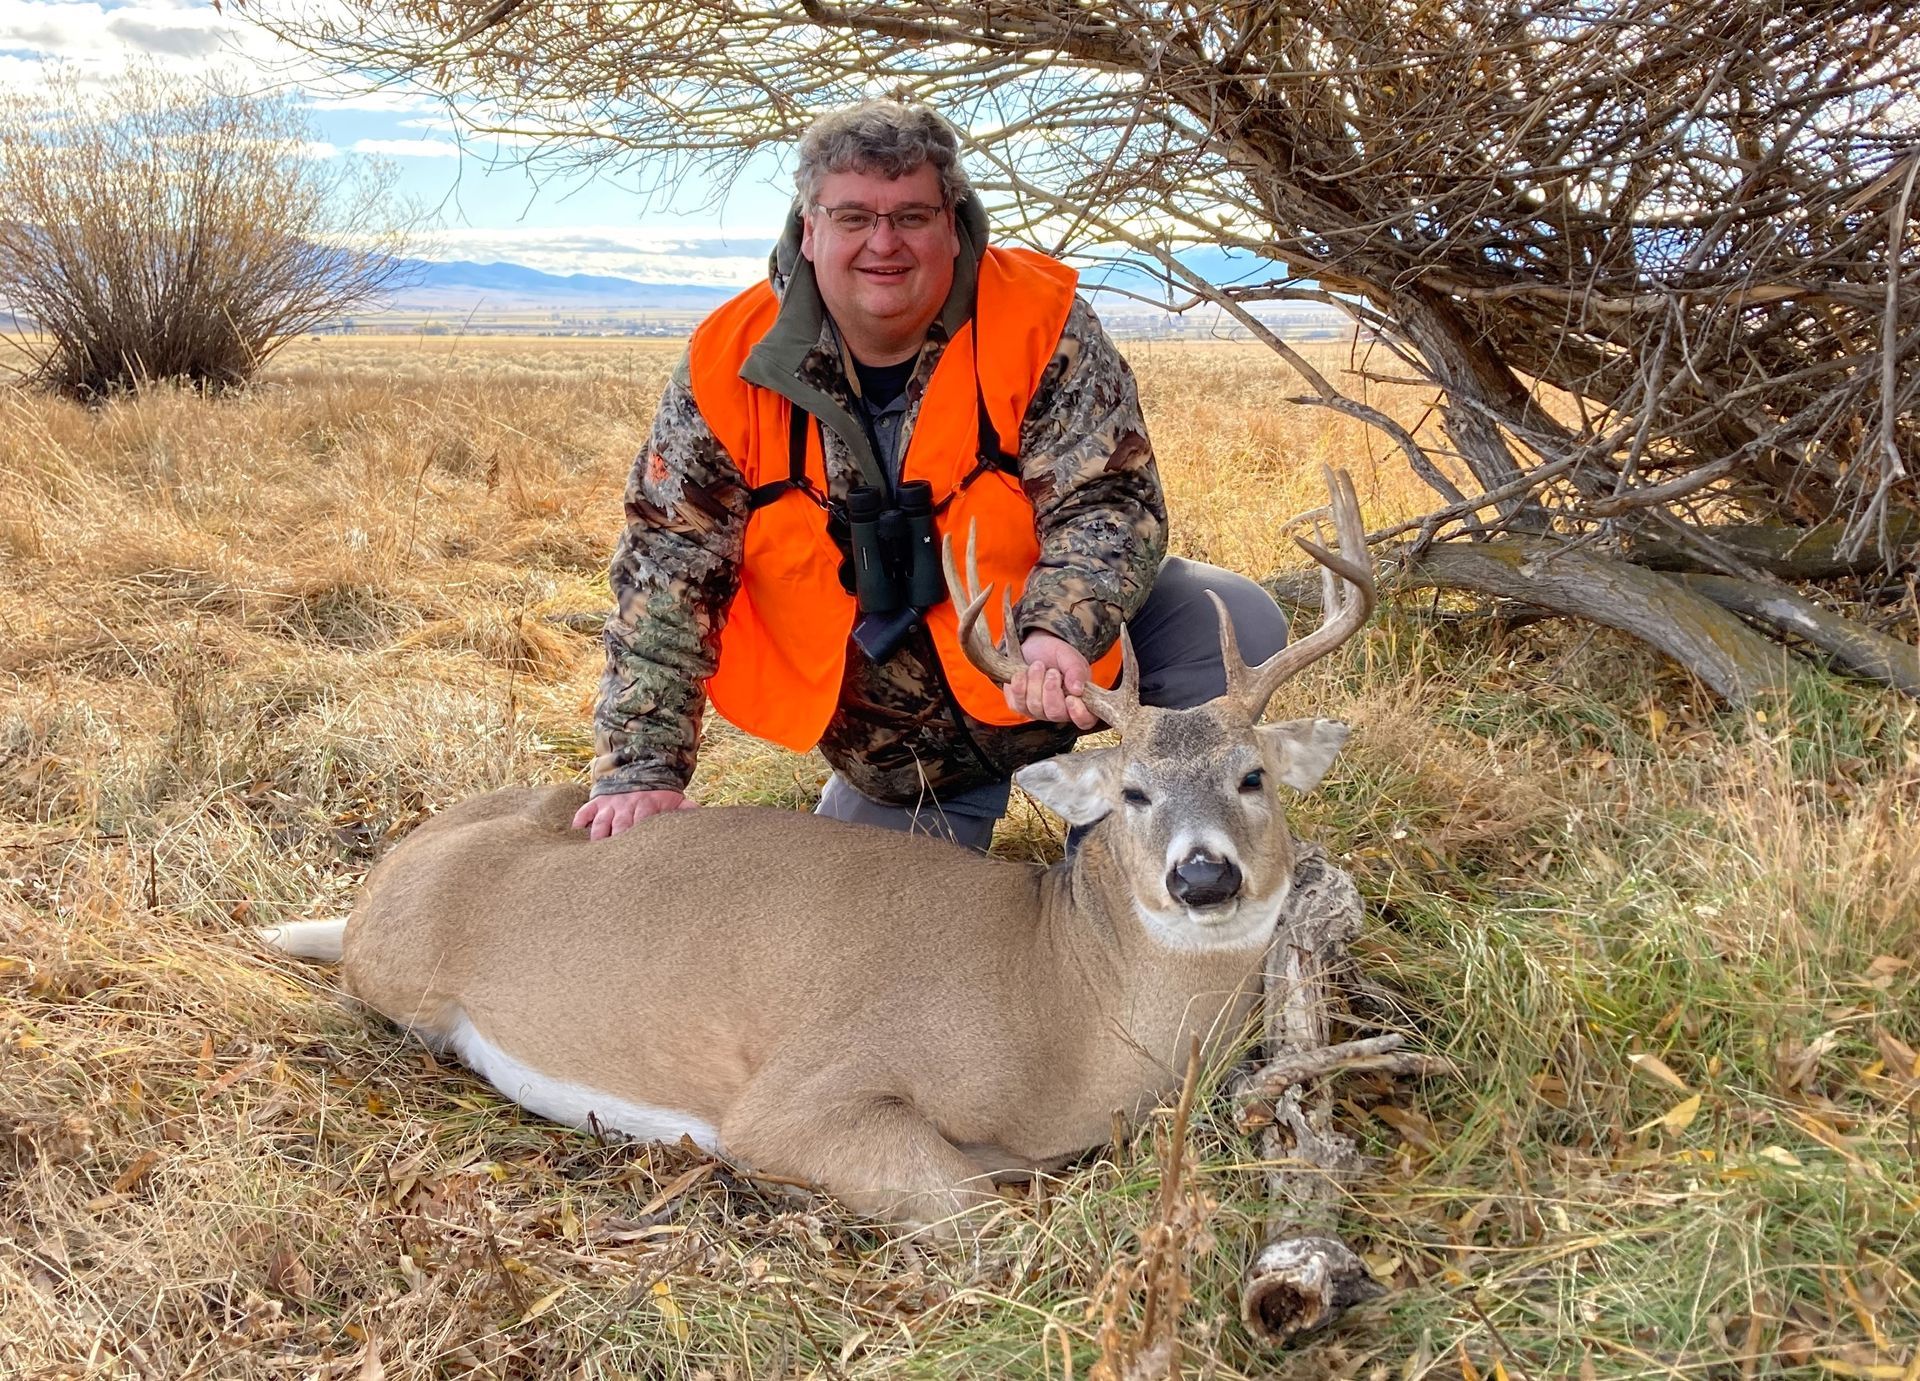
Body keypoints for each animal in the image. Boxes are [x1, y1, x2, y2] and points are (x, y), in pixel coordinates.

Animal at [260, 468, 1376, 1238]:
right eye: (1133, 792)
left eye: (1254, 778)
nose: (1204, 874)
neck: (1057, 996)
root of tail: (380, 879)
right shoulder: (800, 1091)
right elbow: (982, 1203)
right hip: (403, 974)